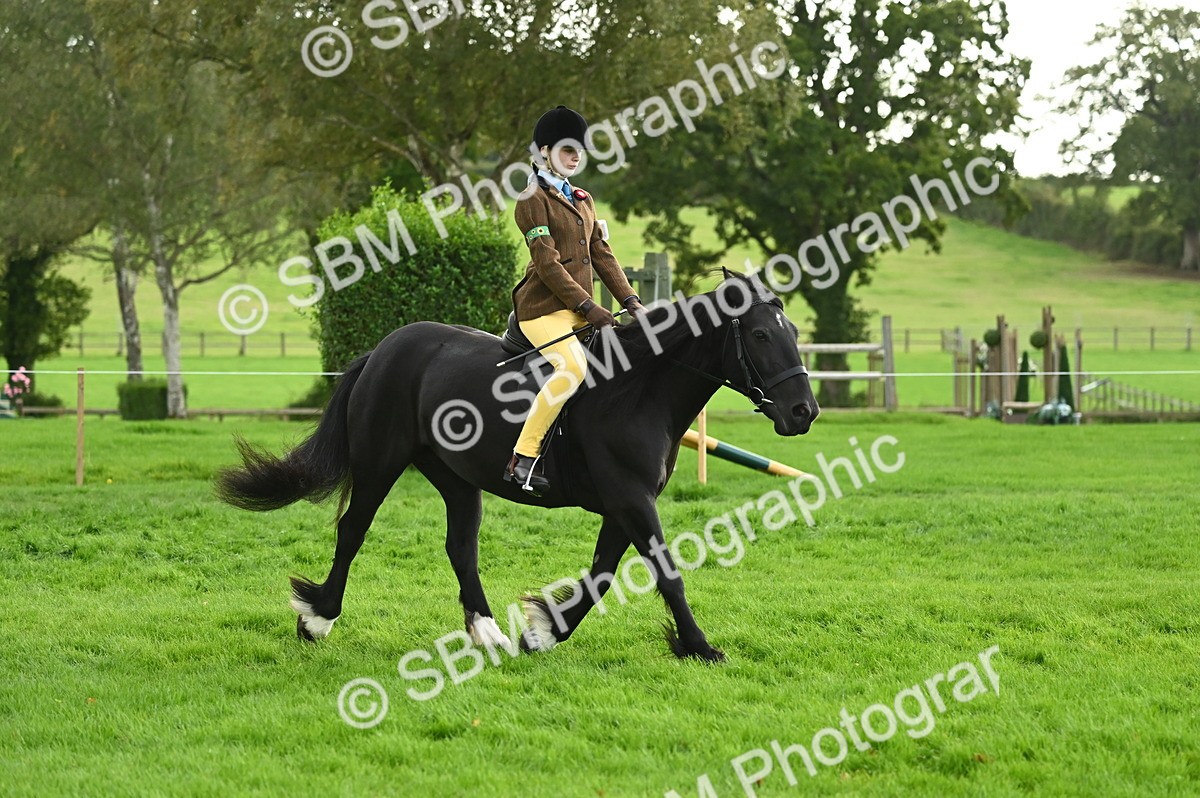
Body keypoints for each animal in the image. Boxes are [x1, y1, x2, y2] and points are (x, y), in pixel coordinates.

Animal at [215, 269, 819, 661]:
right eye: (760, 334)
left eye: (792, 332)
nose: (803, 412)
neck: (639, 388)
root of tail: (384, 349)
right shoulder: (631, 498)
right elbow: (665, 572)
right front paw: (700, 647)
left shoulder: (623, 504)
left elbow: (602, 573)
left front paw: (542, 632)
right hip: (380, 464)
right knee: (353, 530)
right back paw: (318, 619)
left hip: (458, 480)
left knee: (461, 550)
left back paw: (489, 636)